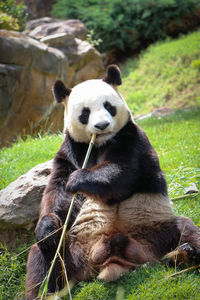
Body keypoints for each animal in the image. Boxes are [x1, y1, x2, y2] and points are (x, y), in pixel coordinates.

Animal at [25, 64, 200, 298]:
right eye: (85, 113)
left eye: (109, 106)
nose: (102, 125)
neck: (99, 144)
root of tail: (111, 257)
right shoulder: (70, 150)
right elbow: (57, 194)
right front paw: (49, 226)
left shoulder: (132, 138)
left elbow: (121, 174)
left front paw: (77, 179)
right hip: (72, 248)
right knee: (44, 258)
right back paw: (45, 290)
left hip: (155, 228)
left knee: (186, 229)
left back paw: (185, 254)